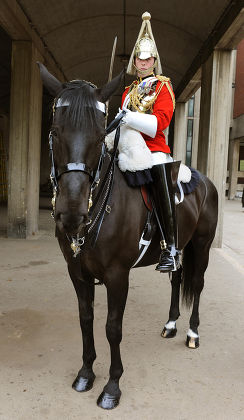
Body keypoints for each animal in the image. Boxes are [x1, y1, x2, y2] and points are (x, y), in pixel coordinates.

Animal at [39, 63, 218, 410]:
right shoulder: (77, 273)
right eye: (54, 132)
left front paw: (112, 386)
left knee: (198, 283)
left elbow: (113, 328)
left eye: (99, 137)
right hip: (178, 247)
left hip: (202, 246)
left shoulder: (117, 275)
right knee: (177, 278)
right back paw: (171, 325)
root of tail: (204, 180)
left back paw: (192, 333)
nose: (71, 214)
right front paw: (85, 373)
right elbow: (85, 319)